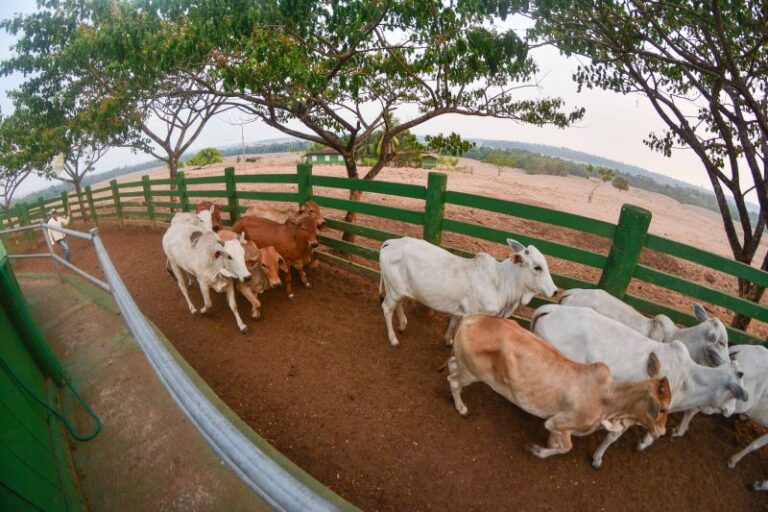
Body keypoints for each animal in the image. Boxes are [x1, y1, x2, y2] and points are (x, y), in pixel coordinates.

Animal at [380, 237, 556, 348]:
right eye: (537, 267)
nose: (554, 291)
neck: (501, 282)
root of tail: (390, 243)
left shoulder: (459, 311)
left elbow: (452, 324)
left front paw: (448, 341)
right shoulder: (474, 316)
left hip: (396, 288)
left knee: (398, 304)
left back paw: (403, 325)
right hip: (394, 289)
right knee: (387, 308)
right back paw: (393, 339)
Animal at [448, 314, 668, 462]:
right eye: (662, 409)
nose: (662, 432)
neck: (606, 399)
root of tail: (471, 318)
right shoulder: (557, 423)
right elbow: (566, 448)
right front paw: (537, 450)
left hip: (462, 363)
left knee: (450, 366)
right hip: (471, 373)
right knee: (453, 381)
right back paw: (462, 409)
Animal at [532, 304, 748, 468]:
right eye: (722, 342)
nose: (731, 411)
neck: (687, 378)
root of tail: (550, 309)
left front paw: (642, 444)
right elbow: (613, 436)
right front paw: (597, 459)